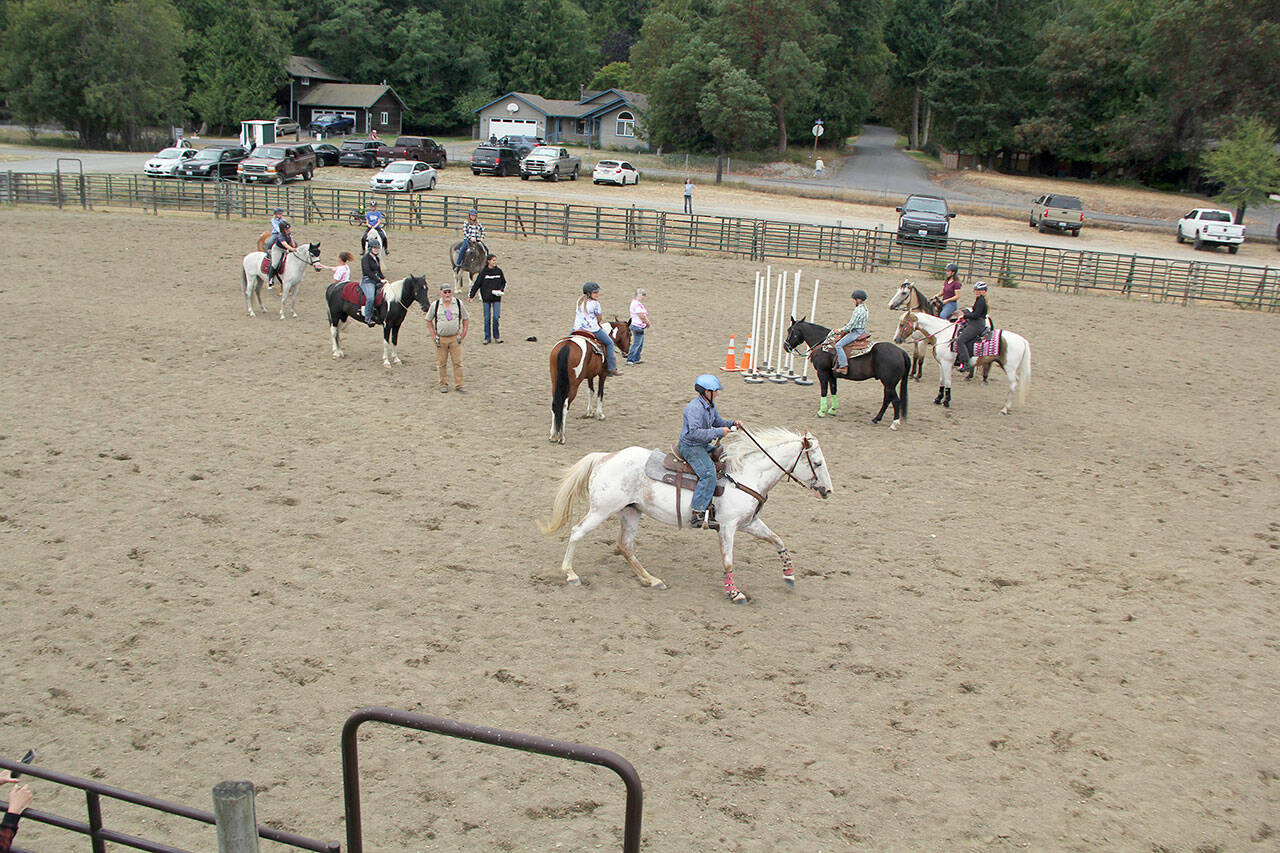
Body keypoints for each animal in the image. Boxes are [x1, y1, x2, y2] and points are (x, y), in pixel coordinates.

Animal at [540, 427, 834, 603]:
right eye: (818, 463)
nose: (828, 491)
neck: (744, 475)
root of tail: (605, 456)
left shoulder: (750, 523)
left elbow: (778, 540)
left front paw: (789, 575)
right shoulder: (728, 527)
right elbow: (728, 561)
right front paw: (734, 592)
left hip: (631, 513)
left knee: (625, 546)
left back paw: (651, 580)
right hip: (601, 510)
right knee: (577, 533)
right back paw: (570, 574)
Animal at [782, 318, 910, 429]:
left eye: (790, 330)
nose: (785, 346)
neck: (824, 344)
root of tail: (901, 352)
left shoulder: (822, 372)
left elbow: (824, 391)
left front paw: (821, 412)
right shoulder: (832, 375)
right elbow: (833, 389)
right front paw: (832, 410)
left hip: (889, 384)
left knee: (895, 400)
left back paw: (894, 424)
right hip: (888, 385)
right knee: (887, 399)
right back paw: (875, 419)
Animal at [893, 310, 1031, 413]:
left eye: (902, 324)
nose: (896, 339)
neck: (943, 335)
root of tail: (1022, 340)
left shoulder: (947, 363)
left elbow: (948, 382)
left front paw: (946, 401)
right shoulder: (941, 364)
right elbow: (942, 381)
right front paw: (938, 399)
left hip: (1009, 368)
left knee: (1013, 384)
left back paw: (1004, 408)